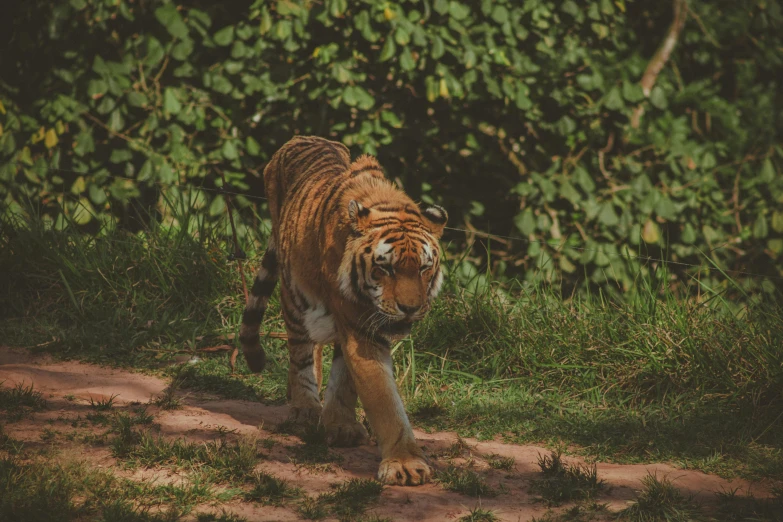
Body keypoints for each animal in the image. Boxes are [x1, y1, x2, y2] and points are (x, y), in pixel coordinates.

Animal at [239, 134, 448, 484]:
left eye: (423, 268)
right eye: (386, 268)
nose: (410, 308)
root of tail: (298, 138)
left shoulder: (360, 325)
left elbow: (347, 380)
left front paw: (342, 425)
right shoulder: (358, 324)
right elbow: (383, 399)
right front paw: (405, 464)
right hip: (294, 297)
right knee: (301, 355)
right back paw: (305, 409)